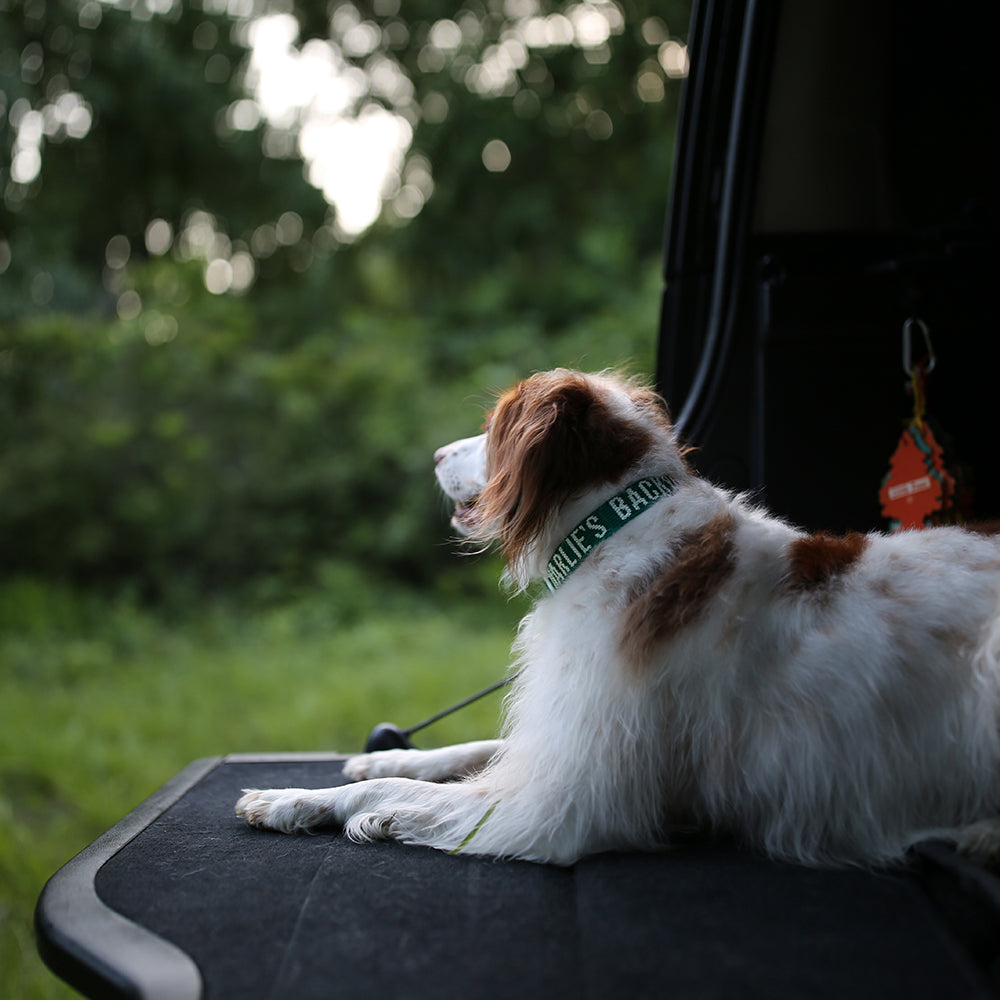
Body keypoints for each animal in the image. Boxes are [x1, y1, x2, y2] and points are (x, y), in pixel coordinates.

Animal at [236, 370, 1000, 868]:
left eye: (492, 429)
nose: (434, 455)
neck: (612, 534)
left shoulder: (571, 798)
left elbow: (422, 793)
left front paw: (299, 798)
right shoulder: (569, 732)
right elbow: (463, 752)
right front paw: (379, 760)